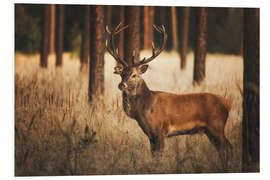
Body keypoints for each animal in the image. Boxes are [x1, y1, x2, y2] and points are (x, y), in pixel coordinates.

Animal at [105, 23, 232, 169]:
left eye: (134, 75)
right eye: (122, 74)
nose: (122, 85)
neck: (144, 109)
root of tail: (228, 104)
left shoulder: (161, 130)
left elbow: (158, 157)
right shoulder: (150, 135)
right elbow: (154, 156)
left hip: (216, 126)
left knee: (227, 148)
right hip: (211, 130)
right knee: (224, 148)